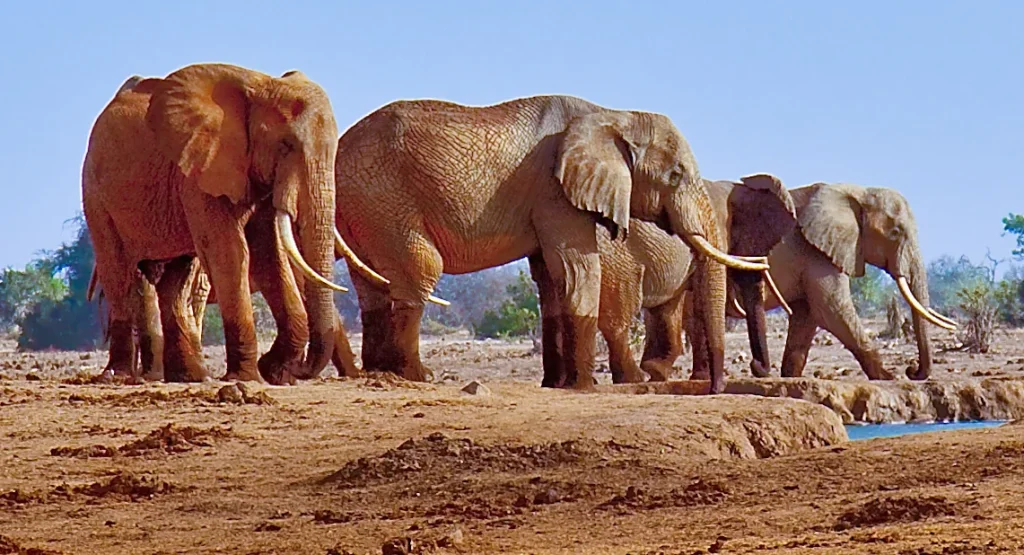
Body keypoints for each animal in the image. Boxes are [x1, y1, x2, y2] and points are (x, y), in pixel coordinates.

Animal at [81, 63, 384, 384]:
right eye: (286, 145)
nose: (301, 371)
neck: (262, 87)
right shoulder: (200, 170)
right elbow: (230, 252)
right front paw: (250, 377)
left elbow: (268, 255)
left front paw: (273, 371)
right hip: (96, 194)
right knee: (119, 272)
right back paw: (119, 376)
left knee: (176, 279)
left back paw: (190, 376)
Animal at [333, 94, 769, 393]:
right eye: (676, 175)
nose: (714, 389)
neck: (610, 114)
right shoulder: (555, 193)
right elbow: (577, 269)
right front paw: (585, 387)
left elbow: (550, 280)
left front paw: (558, 384)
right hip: (384, 200)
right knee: (420, 269)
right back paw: (417, 376)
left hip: (363, 208)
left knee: (371, 286)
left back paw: (381, 374)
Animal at [531, 174, 797, 384]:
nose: (757, 367)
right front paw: (670, 374)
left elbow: (674, 305)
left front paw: (657, 371)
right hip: (613, 253)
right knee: (619, 311)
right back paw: (632, 378)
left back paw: (560, 382)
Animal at [706, 183, 957, 381]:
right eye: (895, 232)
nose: (911, 370)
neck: (859, 192)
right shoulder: (818, 254)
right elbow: (832, 310)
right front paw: (888, 378)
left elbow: (807, 316)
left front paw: (790, 377)